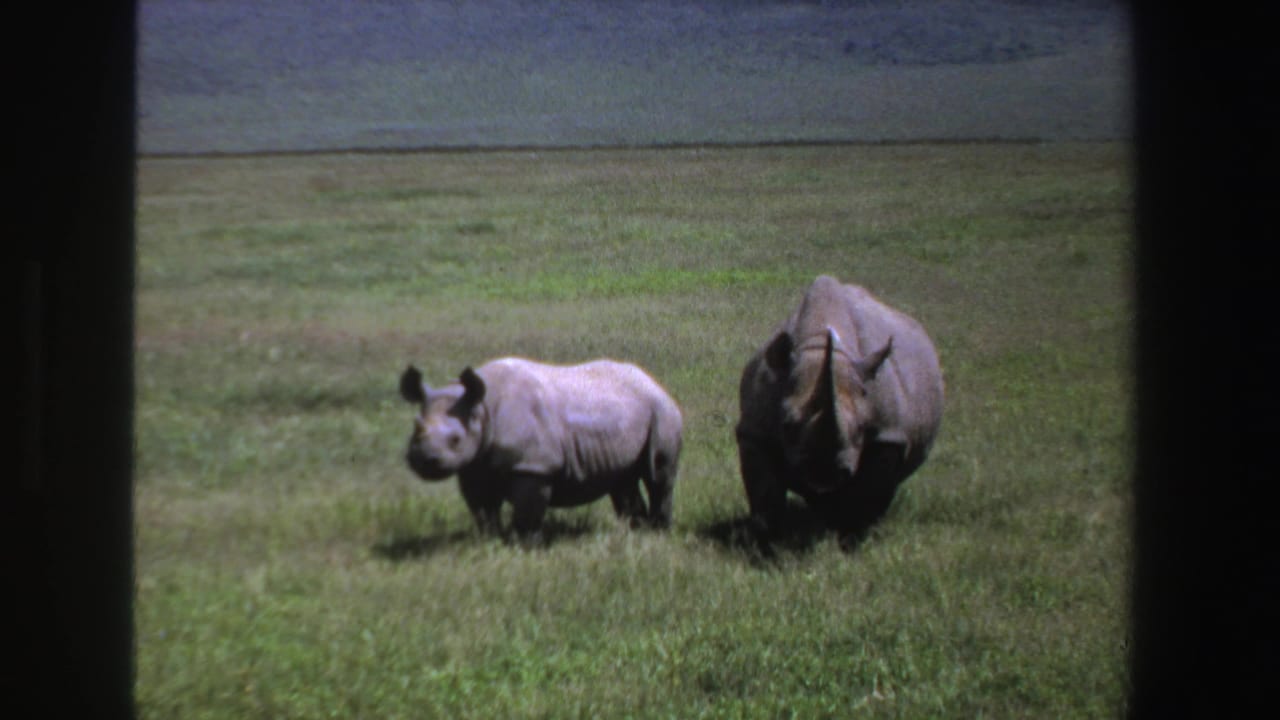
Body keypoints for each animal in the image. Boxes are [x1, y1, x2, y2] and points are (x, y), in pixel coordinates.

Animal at [398, 357, 683, 544]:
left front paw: (525, 547)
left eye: (456, 439)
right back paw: (635, 532)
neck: (482, 409)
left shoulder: (534, 465)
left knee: (658, 476)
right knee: (623, 480)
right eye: (414, 429)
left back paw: (658, 534)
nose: (423, 460)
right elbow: (483, 510)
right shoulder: (474, 466)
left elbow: (528, 512)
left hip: (662, 412)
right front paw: (490, 541)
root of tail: (654, 382)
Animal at [736, 275, 944, 543]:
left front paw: (854, 538)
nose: (825, 473)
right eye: (787, 426)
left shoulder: (888, 434)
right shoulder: (755, 430)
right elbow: (764, 495)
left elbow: (870, 493)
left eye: (862, 428)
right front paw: (765, 540)